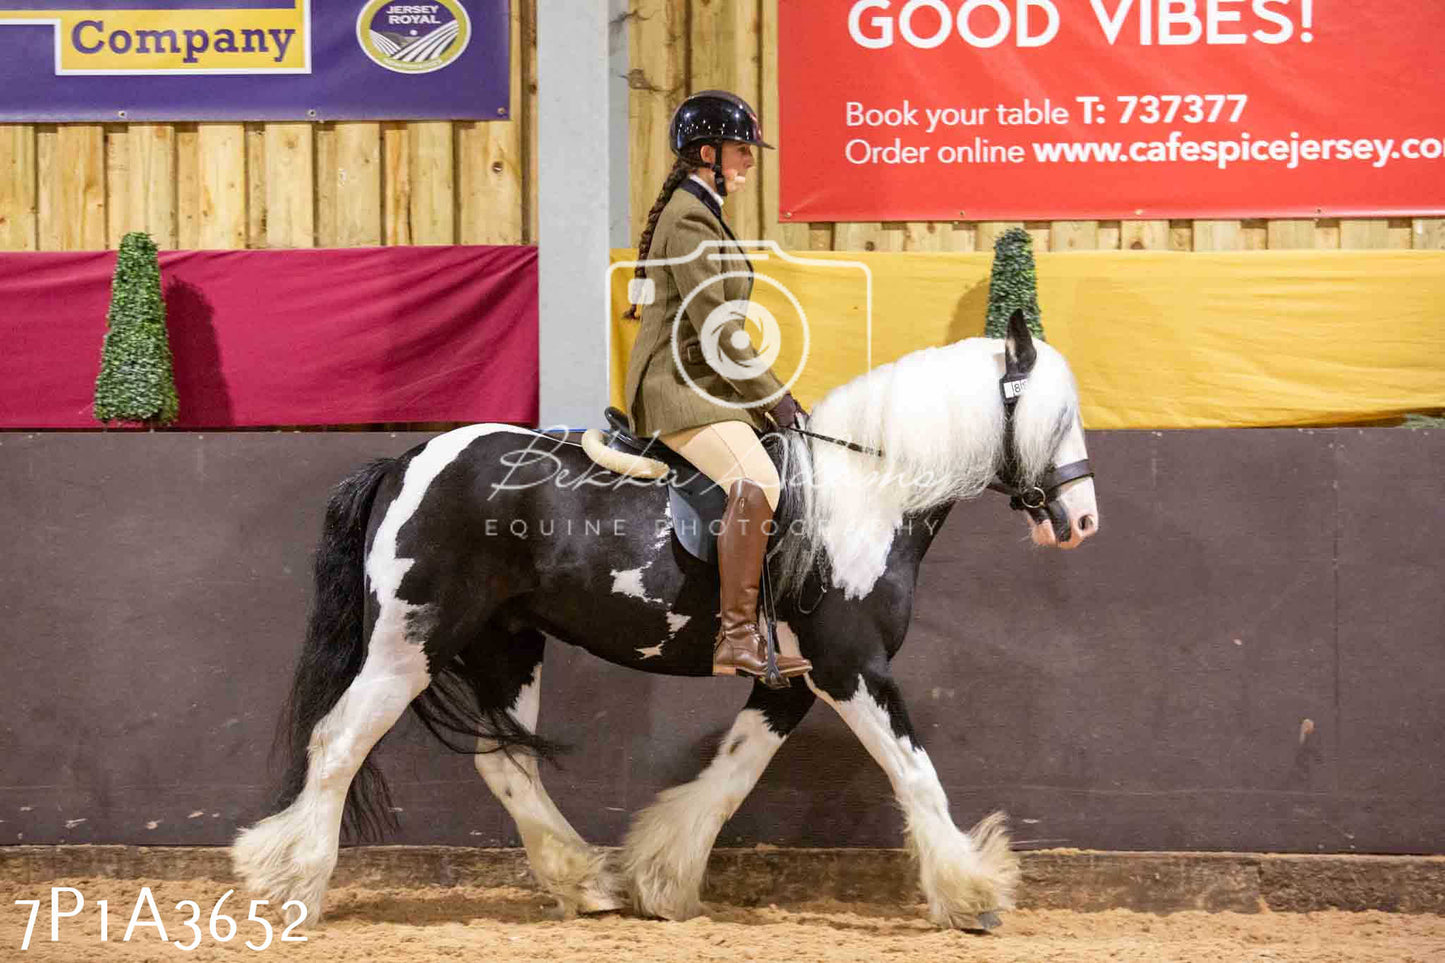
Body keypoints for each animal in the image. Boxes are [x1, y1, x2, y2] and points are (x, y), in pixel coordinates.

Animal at [234, 315, 1092, 931]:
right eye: (1059, 418)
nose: (1080, 519)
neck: (866, 489)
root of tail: (404, 461)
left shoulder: (792, 681)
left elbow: (731, 774)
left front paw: (662, 876)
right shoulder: (851, 666)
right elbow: (913, 771)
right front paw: (972, 893)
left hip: (506, 645)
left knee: (505, 764)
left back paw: (585, 883)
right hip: (409, 643)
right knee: (337, 741)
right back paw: (292, 883)